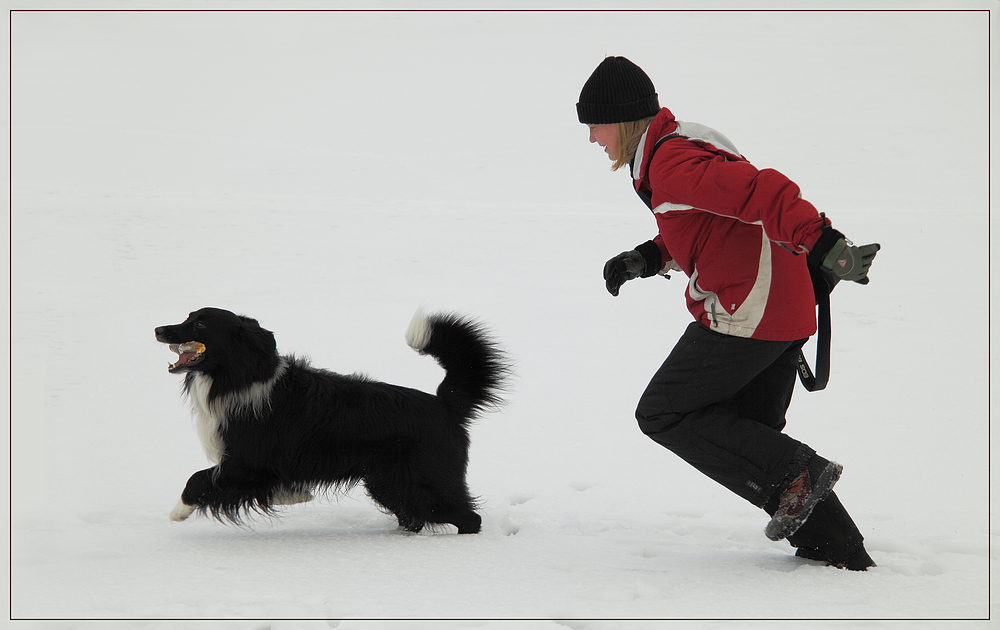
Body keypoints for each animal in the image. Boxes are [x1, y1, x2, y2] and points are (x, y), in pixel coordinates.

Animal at [154, 308, 508, 536]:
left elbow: (197, 480)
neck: (239, 377)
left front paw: (177, 513)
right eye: (187, 316)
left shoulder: (248, 463)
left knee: (468, 517)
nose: (158, 330)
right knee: (415, 515)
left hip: (426, 481)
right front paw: (295, 495)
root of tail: (444, 404)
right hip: (389, 482)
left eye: (201, 324)